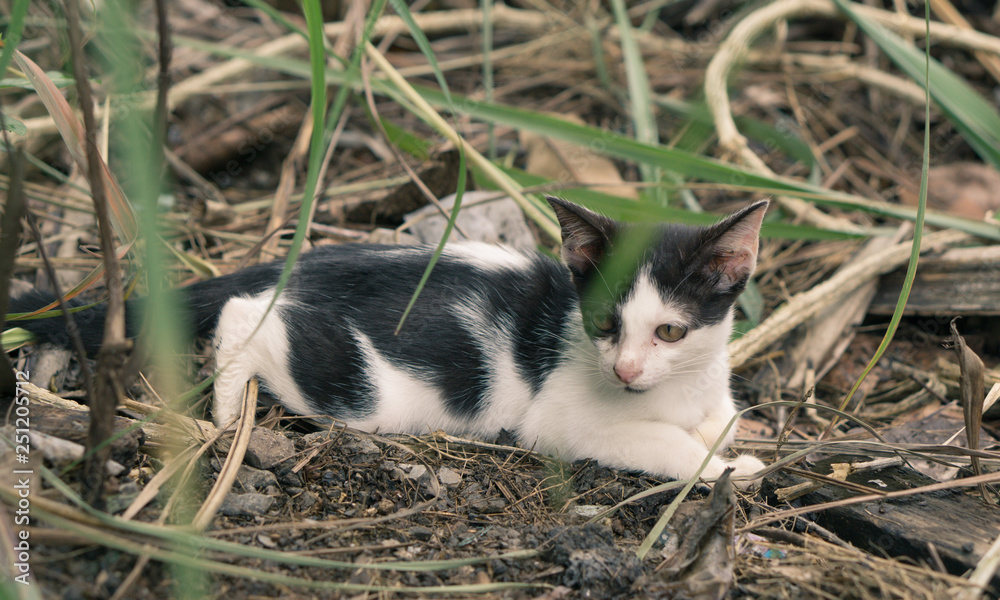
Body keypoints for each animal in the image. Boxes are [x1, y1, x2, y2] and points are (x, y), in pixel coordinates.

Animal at [9, 199, 764, 486]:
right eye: (605, 323)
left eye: (670, 331)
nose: (628, 369)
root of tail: (310, 260)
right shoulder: (562, 422)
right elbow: (665, 444)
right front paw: (731, 468)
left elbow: (724, 419)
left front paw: (721, 437)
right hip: (366, 389)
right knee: (242, 317)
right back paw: (228, 414)